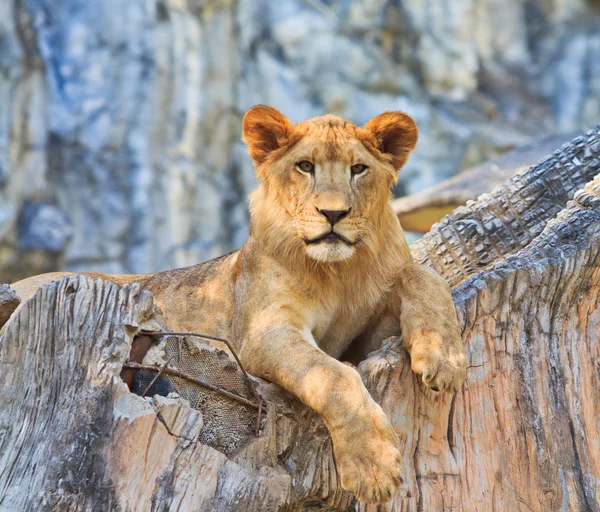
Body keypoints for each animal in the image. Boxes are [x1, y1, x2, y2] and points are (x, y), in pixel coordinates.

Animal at [10, 105, 468, 504]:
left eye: (359, 169)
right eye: (305, 166)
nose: (333, 214)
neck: (338, 273)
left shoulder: (368, 334)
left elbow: (422, 275)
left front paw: (445, 359)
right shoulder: (264, 330)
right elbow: (334, 375)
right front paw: (373, 467)